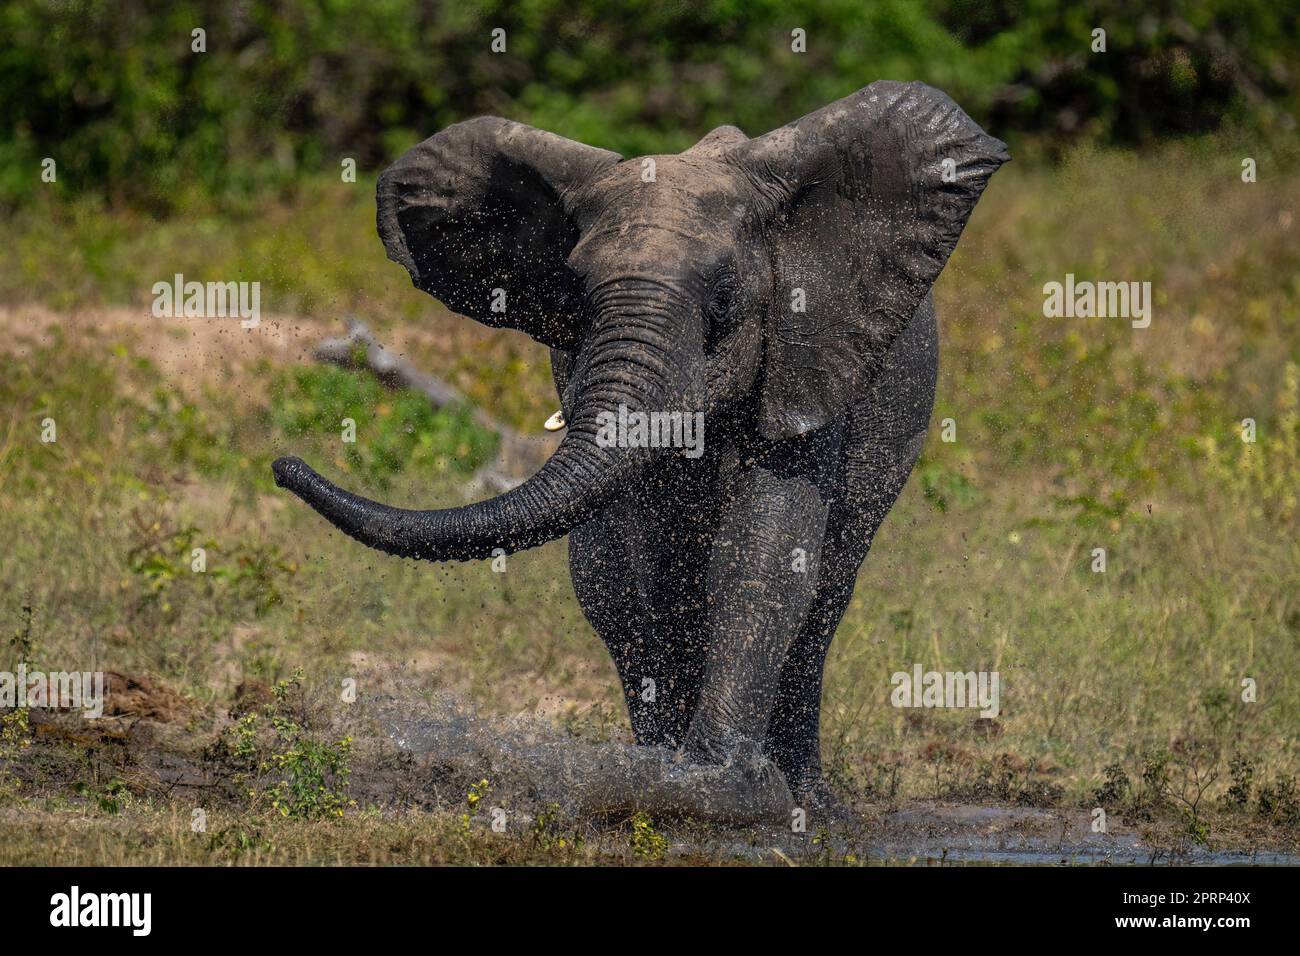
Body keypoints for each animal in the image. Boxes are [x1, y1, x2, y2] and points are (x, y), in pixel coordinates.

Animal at [273, 81, 1007, 824]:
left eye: (723, 299)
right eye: (574, 293)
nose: (282, 465)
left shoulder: (812, 350)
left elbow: (766, 553)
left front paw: (721, 789)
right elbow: (654, 566)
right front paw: (670, 780)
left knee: (828, 591)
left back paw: (812, 805)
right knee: (611, 588)